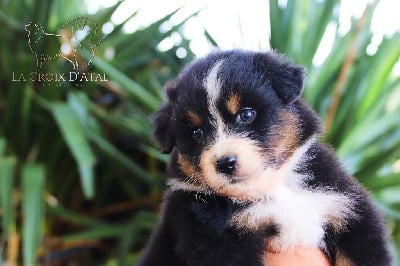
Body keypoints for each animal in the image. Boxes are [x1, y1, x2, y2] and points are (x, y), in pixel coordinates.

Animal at [136, 50, 392, 266]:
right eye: (197, 133)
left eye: (247, 114)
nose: (225, 163)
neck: (271, 188)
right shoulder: (212, 235)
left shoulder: (347, 207)